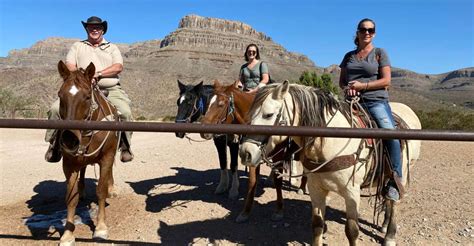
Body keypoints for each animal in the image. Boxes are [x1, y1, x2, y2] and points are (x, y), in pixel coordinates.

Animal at [56, 60, 119, 245]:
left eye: (86, 96)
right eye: (60, 95)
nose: (69, 139)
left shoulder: (107, 157)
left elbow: (101, 191)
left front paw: (101, 228)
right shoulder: (69, 163)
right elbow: (71, 197)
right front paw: (67, 235)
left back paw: (112, 188)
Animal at [199, 80, 304, 223]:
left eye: (221, 104)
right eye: (208, 103)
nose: (203, 132)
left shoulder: (277, 154)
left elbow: (278, 181)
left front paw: (279, 210)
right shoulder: (252, 154)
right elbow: (252, 180)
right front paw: (245, 212)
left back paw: (301, 187)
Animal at [241, 81, 422, 246]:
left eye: (269, 114)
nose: (245, 153)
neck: (331, 140)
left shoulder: (352, 193)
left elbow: (352, 231)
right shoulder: (316, 189)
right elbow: (317, 226)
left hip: (402, 173)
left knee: (394, 201)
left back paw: (389, 235)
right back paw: (384, 225)